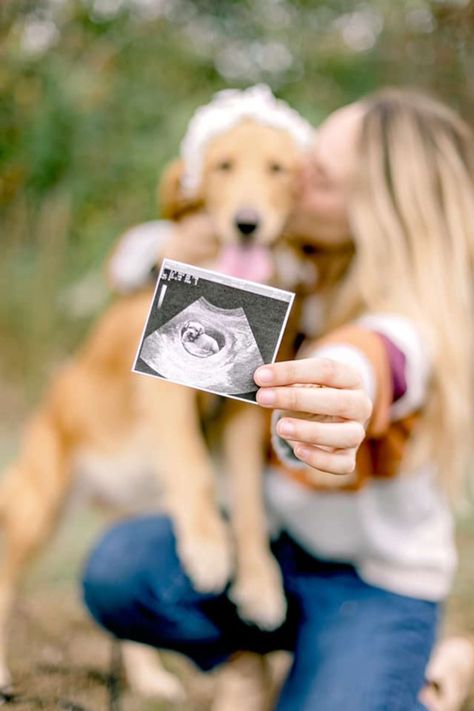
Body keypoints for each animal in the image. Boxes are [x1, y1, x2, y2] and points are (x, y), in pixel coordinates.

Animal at [0, 87, 314, 700]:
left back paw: (147, 681)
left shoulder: (242, 415)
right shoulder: (166, 394)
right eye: (222, 167)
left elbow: (246, 500)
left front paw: (260, 586)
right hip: (38, 502)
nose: (247, 223)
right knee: (6, 570)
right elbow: (194, 469)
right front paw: (211, 549)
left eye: (278, 170)